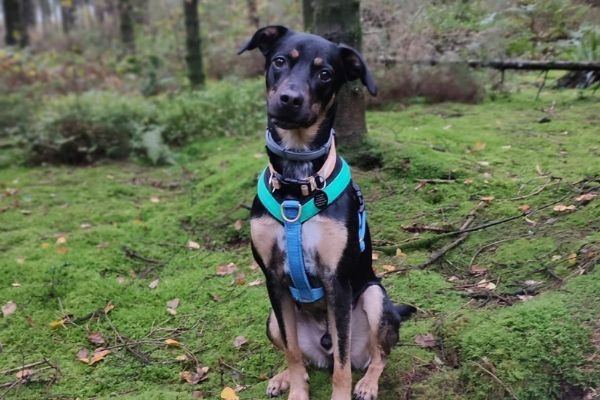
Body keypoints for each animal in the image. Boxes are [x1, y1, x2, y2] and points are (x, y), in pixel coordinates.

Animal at [237, 26, 414, 398]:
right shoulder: (273, 279)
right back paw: (283, 377)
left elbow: (342, 366)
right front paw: (295, 390)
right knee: (301, 357)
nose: (290, 99)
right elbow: (292, 352)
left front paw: (343, 392)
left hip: (375, 298)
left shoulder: (338, 283)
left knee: (378, 355)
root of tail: (322, 347)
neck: (296, 181)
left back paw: (368, 383)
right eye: (279, 61)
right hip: (272, 319)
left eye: (325, 74)